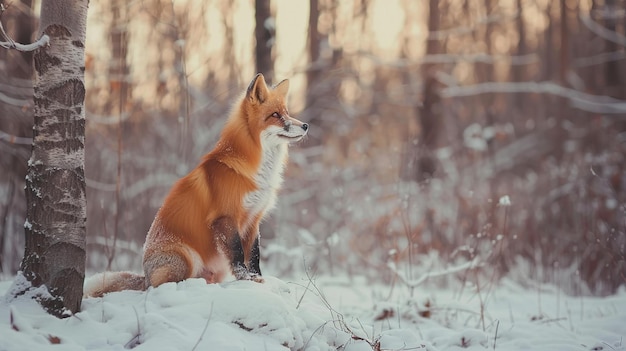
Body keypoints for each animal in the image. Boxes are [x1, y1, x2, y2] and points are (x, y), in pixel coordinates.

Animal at [84, 73, 308, 296]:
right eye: (276, 115)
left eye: (287, 113)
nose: (306, 125)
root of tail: (144, 276)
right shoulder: (226, 217)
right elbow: (237, 254)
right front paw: (247, 280)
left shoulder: (253, 219)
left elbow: (253, 255)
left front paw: (257, 279)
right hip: (186, 258)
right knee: (159, 286)